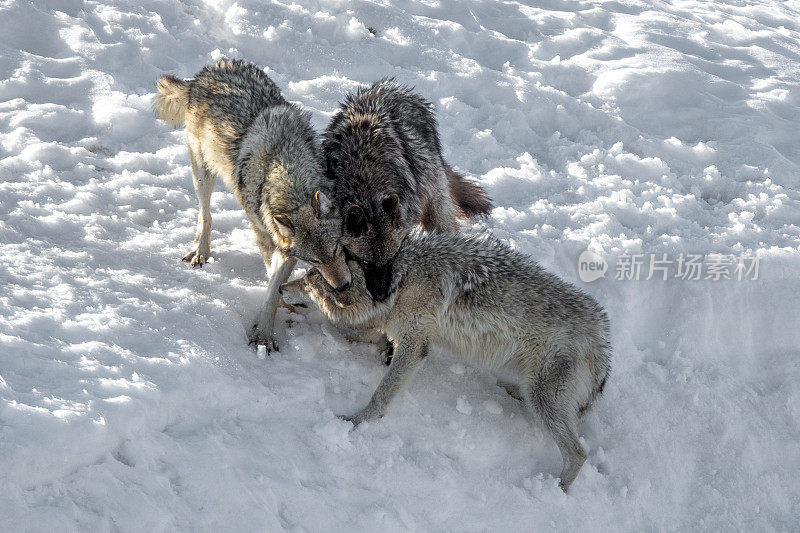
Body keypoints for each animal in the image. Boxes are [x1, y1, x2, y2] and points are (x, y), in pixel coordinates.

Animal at [155, 58, 348, 352]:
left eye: (337, 249)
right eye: (314, 260)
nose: (343, 286)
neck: (288, 171)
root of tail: (208, 70)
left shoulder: (287, 247)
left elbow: (276, 282)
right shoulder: (268, 236)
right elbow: (272, 285)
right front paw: (265, 334)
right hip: (202, 173)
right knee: (205, 213)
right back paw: (201, 251)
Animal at [282, 233, 612, 490]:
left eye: (308, 283)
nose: (282, 288)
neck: (394, 284)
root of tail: (601, 340)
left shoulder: (414, 345)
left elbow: (380, 394)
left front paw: (357, 421)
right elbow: (368, 335)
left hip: (544, 401)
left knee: (578, 454)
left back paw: (555, 490)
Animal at [322, 80, 490, 302]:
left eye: (391, 258)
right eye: (365, 262)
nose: (381, 296)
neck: (365, 181)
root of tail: (391, 88)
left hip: (434, 196)